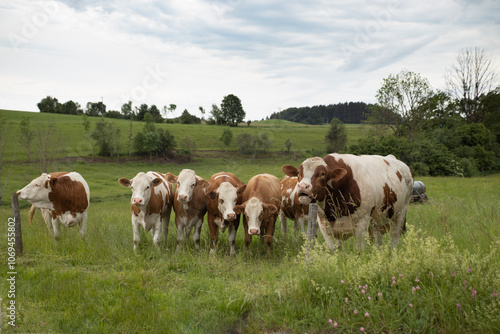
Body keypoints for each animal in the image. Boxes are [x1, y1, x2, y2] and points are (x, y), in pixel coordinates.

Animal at [282, 154, 414, 250]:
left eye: (322, 173)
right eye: (298, 173)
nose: (302, 187)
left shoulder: (362, 222)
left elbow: (359, 250)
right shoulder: (324, 225)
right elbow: (334, 250)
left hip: (400, 212)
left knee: (394, 238)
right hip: (376, 219)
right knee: (378, 239)